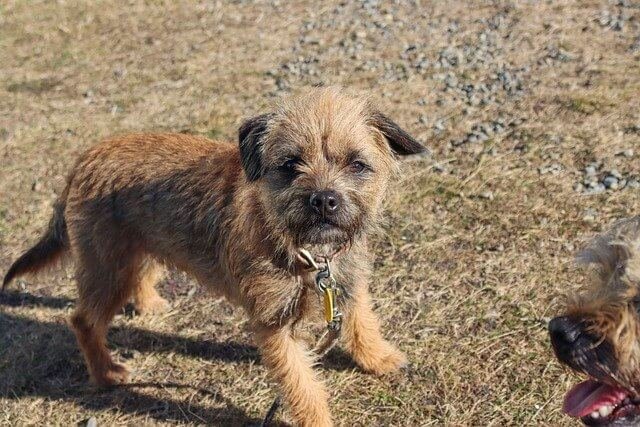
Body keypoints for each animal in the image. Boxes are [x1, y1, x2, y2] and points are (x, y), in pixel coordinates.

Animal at [5, 88, 428, 427]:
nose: (323, 199)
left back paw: (148, 304)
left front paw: (378, 358)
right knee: (82, 320)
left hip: (140, 251)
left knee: (137, 278)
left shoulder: (347, 284)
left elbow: (362, 322)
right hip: (106, 270)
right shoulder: (276, 328)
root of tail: (85, 159)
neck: (306, 250)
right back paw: (106, 372)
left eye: (357, 164)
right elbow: (302, 385)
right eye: (290, 164)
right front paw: (318, 419)